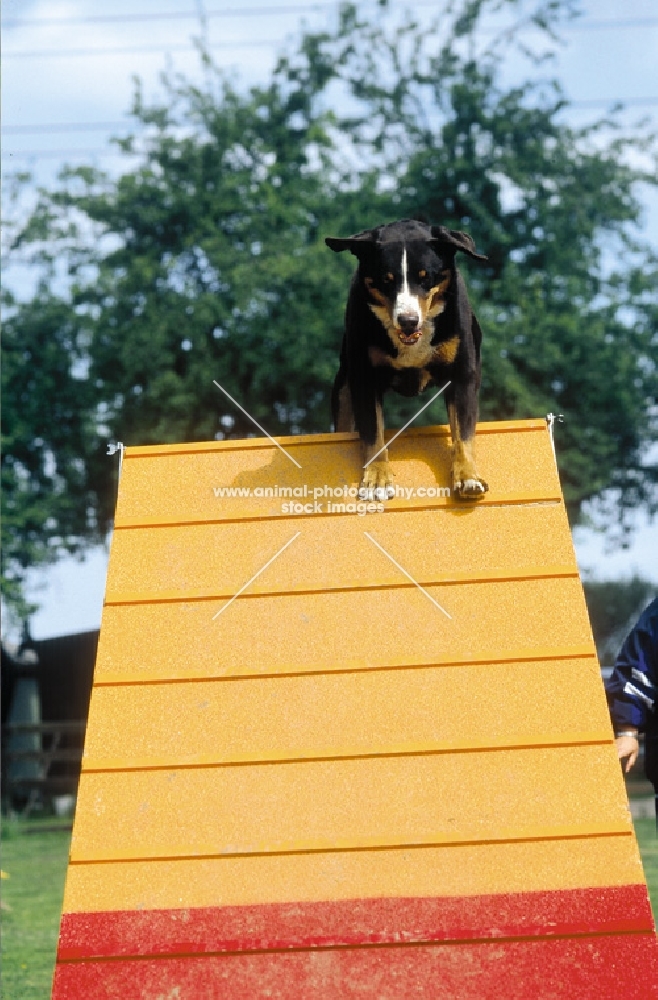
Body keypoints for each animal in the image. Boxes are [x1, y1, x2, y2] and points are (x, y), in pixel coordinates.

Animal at [326, 219, 486, 500]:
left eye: (426, 277)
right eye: (386, 280)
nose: (408, 320)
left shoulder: (462, 375)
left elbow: (463, 434)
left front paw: (467, 477)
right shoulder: (364, 378)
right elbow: (373, 432)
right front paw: (377, 479)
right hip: (344, 389)